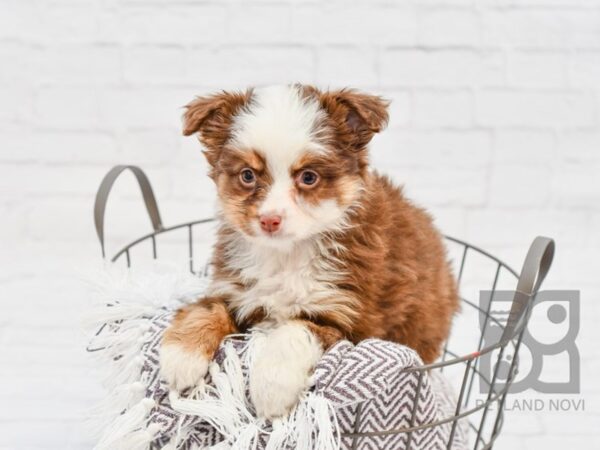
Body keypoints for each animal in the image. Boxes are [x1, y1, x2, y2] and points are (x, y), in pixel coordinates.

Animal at [159, 83, 460, 418]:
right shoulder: (236, 290)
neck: (287, 254)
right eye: (248, 175)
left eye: (309, 177)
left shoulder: (352, 319)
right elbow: (207, 308)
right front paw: (181, 354)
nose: (270, 220)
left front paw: (271, 386)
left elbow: (296, 329)